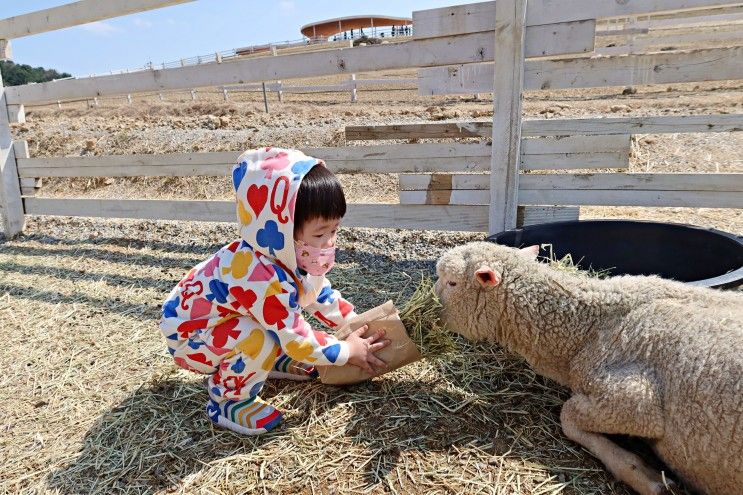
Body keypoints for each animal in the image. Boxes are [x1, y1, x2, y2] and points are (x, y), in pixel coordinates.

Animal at [436, 242, 743, 495]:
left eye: (452, 282)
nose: (429, 306)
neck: (588, 329)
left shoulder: (634, 401)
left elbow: (567, 416)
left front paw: (646, 478)